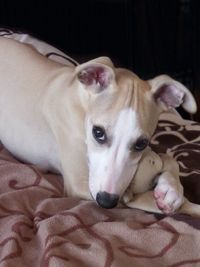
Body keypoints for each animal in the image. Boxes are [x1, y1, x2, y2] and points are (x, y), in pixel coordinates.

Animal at [0, 37, 197, 214]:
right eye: (98, 132)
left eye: (141, 143)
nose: (106, 201)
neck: (82, 105)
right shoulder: (79, 183)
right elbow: (146, 202)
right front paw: (182, 201)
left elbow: (169, 158)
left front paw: (172, 189)